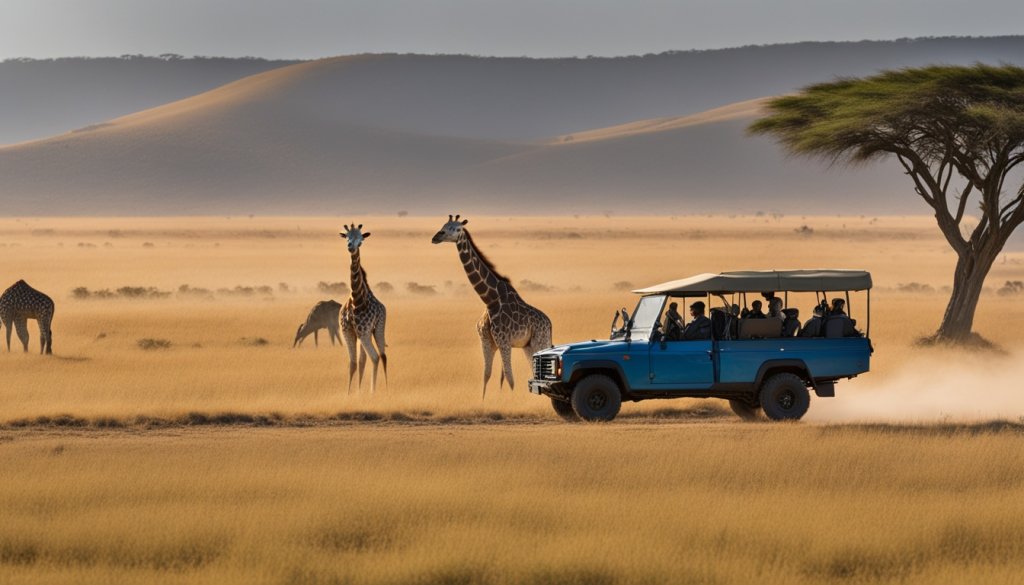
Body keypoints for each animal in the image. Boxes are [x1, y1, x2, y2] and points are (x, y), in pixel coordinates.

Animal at [337, 224, 385, 393]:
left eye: (361, 240)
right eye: (347, 237)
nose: (351, 247)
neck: (356, 299)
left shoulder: (363, 331)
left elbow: (371, 359)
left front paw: (370, 392)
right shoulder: (348, 330)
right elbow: (353, 363)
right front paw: (350, 394)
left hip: (376, 330)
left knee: (379, 357)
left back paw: (378, 390)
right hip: (365, 334)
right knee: (365, 359)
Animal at [430, 215, 552, 397]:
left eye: (457, 229)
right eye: (443, 226)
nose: (436, 237)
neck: (490, 300)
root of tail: (549, 323)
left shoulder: (504, 341)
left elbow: (509, 378)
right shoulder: (487, 341)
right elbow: (487, 375)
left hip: (540, 341)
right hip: (528, 346)